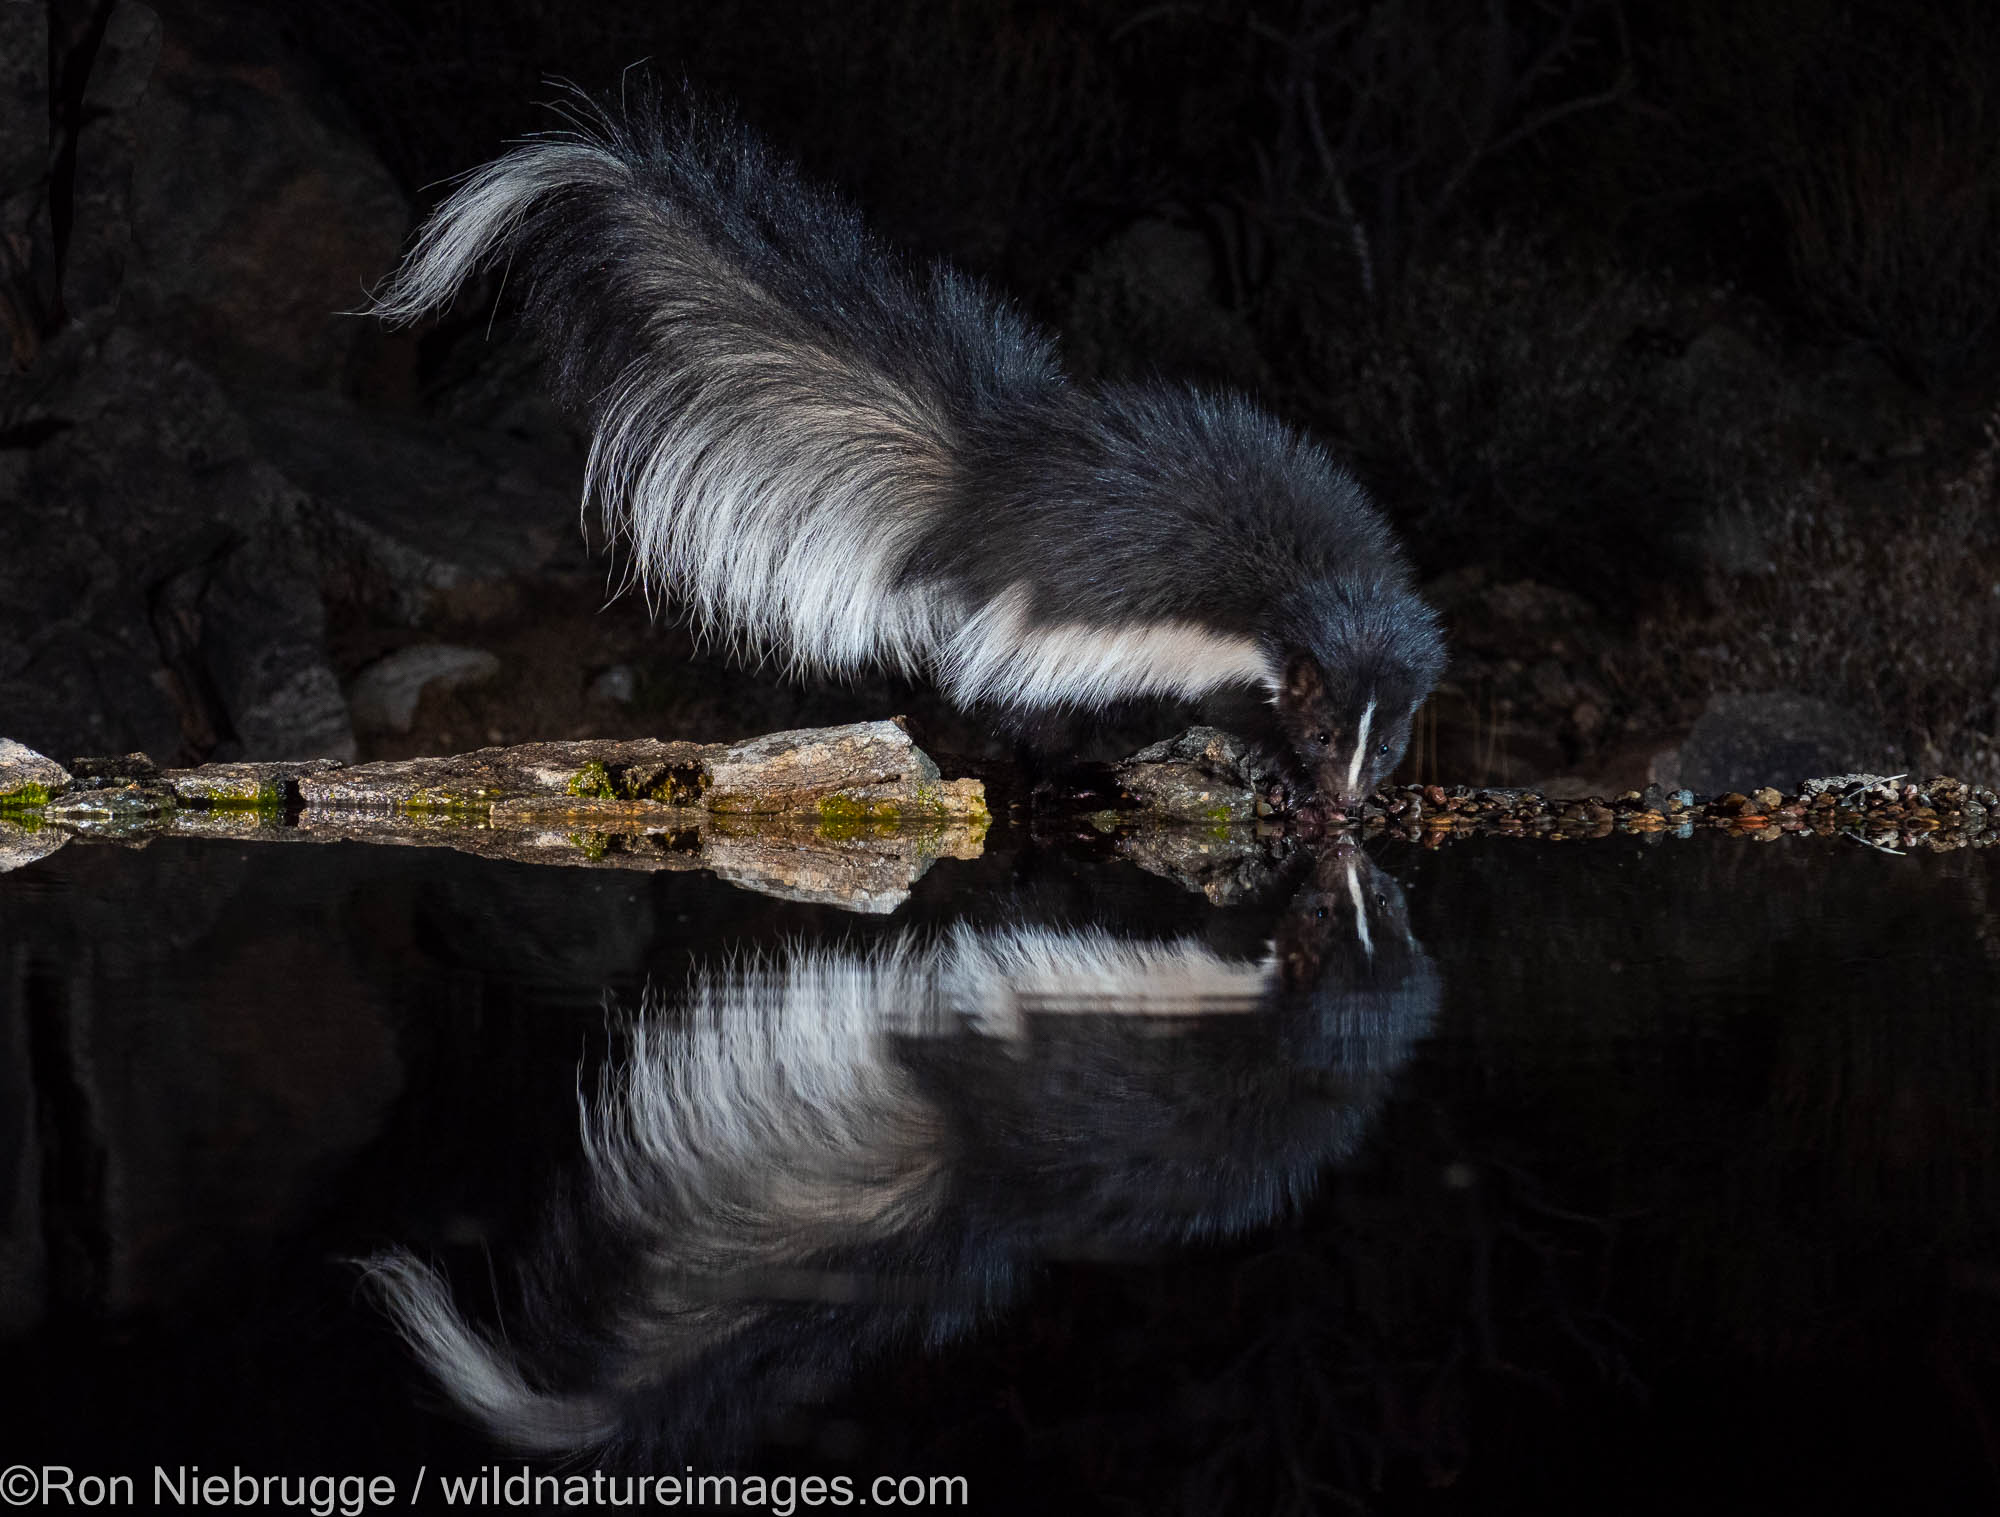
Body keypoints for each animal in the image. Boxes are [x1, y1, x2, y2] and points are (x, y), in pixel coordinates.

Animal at [372, 84, 1440, 808]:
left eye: (1389, 744)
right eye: (1324, 727)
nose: (1350, 795)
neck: (1316, 589)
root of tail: (992, 476)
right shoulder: (1224, 659)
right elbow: (1229, 713)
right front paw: (1278, 778)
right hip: (1050, 644)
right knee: (1029, 716)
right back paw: (1077, 769)